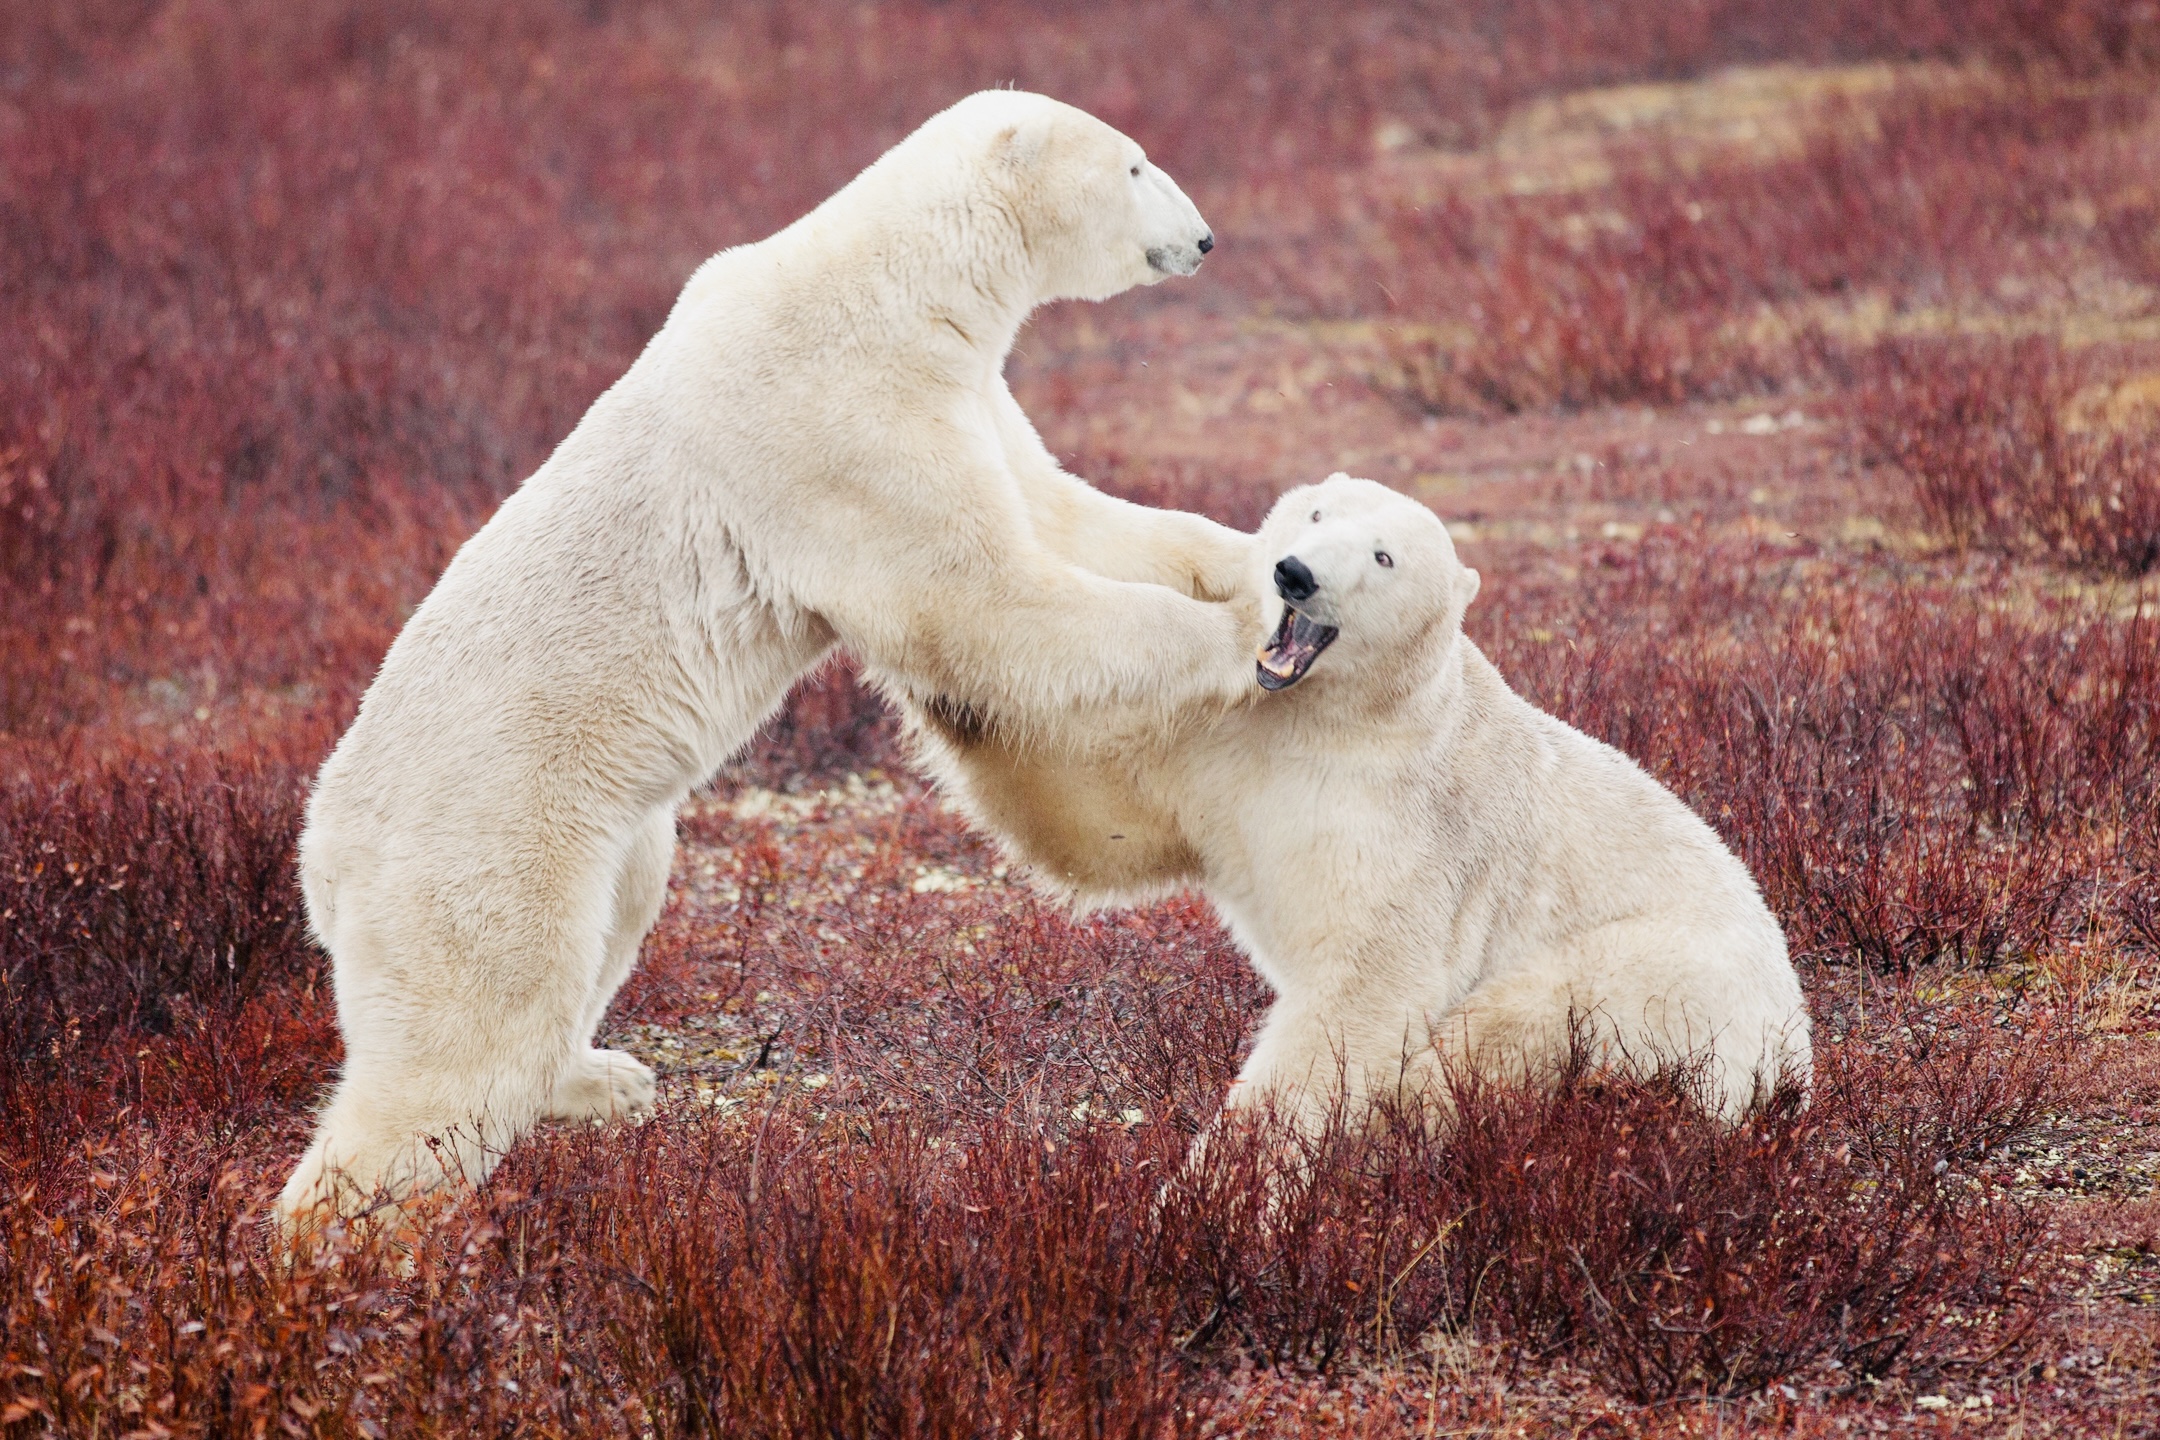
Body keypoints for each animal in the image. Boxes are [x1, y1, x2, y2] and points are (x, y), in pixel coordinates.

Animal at [279, 90, 1264, 1232]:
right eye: (1138, 164)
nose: (1206, 238)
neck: (894, 284)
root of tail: (322, 859)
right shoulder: (843, 420)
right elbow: (978, 598)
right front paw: (1246, 636)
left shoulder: (963, 395)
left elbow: (1070, 516)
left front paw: (1267, 559)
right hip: (484, 856)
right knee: (464, 1045)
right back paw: (338, 1244)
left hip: (600, 838)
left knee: (613, 918)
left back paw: (601, 1078)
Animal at [903, 474, 1812, 1136]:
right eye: (1313, 512)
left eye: (1382, 556)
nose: (1295, 574)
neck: (1338, 720)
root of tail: (1796, 1053)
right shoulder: (1226, 749)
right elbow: (1107, 825)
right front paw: (944, 671)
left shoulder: (1420, 827)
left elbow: (1362, 994)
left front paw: (1216, 1191)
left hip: (1668, 977)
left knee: (1505, 1028)